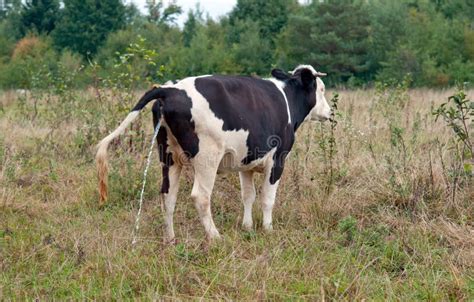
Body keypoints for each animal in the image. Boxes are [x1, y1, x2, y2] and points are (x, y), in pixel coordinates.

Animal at [96, 65, 332, 242]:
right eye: (321, 89)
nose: (330, 112)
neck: (287, 99)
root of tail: (170, 89)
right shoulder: (277, 160)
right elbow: (267, 198)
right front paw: (268, 229)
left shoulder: (246, 163)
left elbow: (248, 195)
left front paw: (247, 226)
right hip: (206, 158)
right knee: (200, 196)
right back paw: (215, 236)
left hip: (168, 156)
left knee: (168, 195)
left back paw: (170, 239)